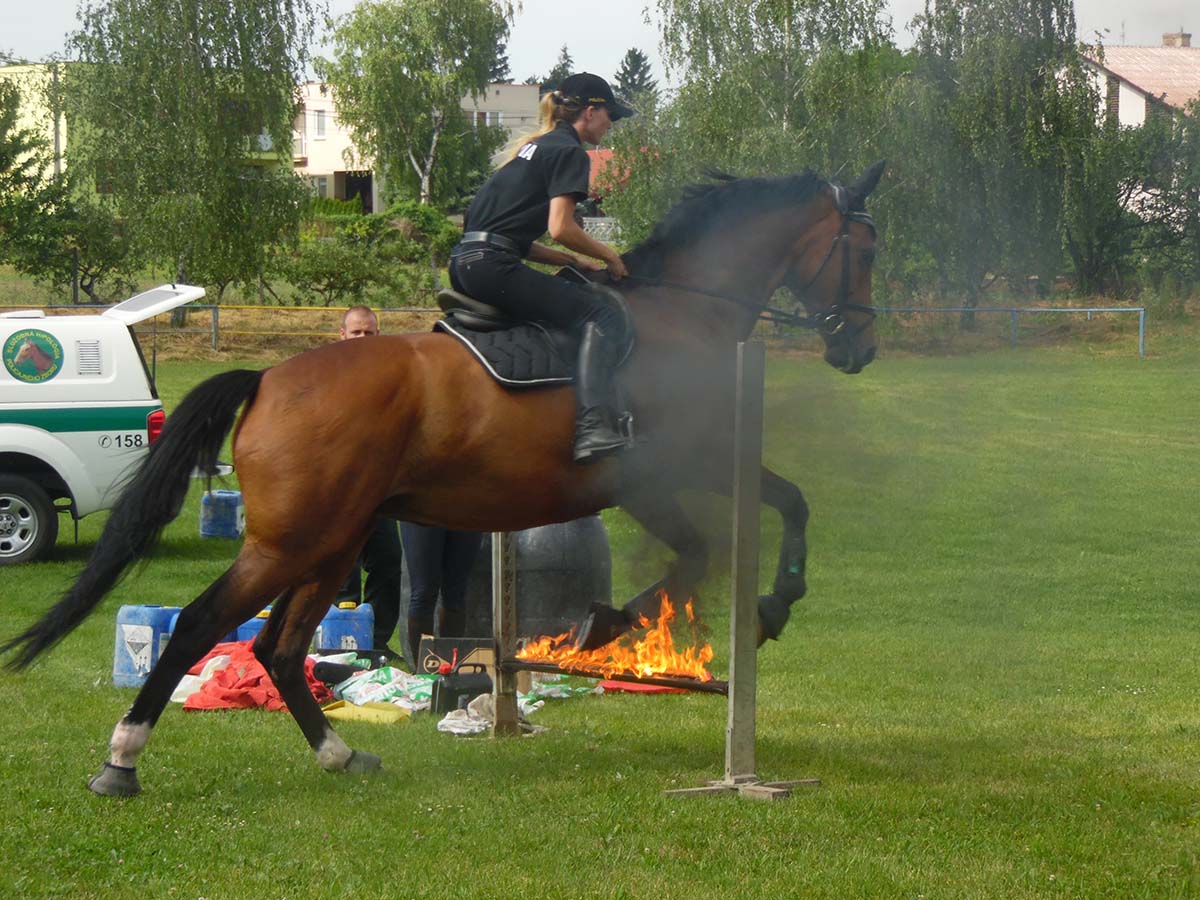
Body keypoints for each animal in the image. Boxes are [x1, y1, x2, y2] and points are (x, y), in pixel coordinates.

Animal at [2, 162, 884, 797]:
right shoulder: (662, 475)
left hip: (336, 539)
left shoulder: (688, 468)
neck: (682, 313)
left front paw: (743, 610)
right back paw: (121, 762)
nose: (860, 349)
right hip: (294, 540)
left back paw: (340, 756)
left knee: (281, 649)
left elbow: (777, 509)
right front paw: (621, 625)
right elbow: (727, 539)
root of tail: (270, 379)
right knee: (198, 627)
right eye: (867, 250)